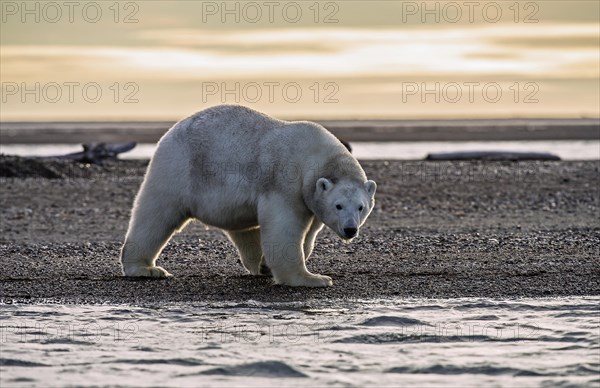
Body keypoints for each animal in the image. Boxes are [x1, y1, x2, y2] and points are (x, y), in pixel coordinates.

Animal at [120, 104, 378, 286]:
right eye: (338, 205)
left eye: (361, 207)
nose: (350, 229)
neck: (315, 156)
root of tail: (171, 131)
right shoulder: (285, 183)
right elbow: (284, 227)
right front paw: (312, 279)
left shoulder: (311, 200)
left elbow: (309, 233)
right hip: (177, 168)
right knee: (156, 214)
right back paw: (145, 268)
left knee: (242, 228)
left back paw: (260, 265)